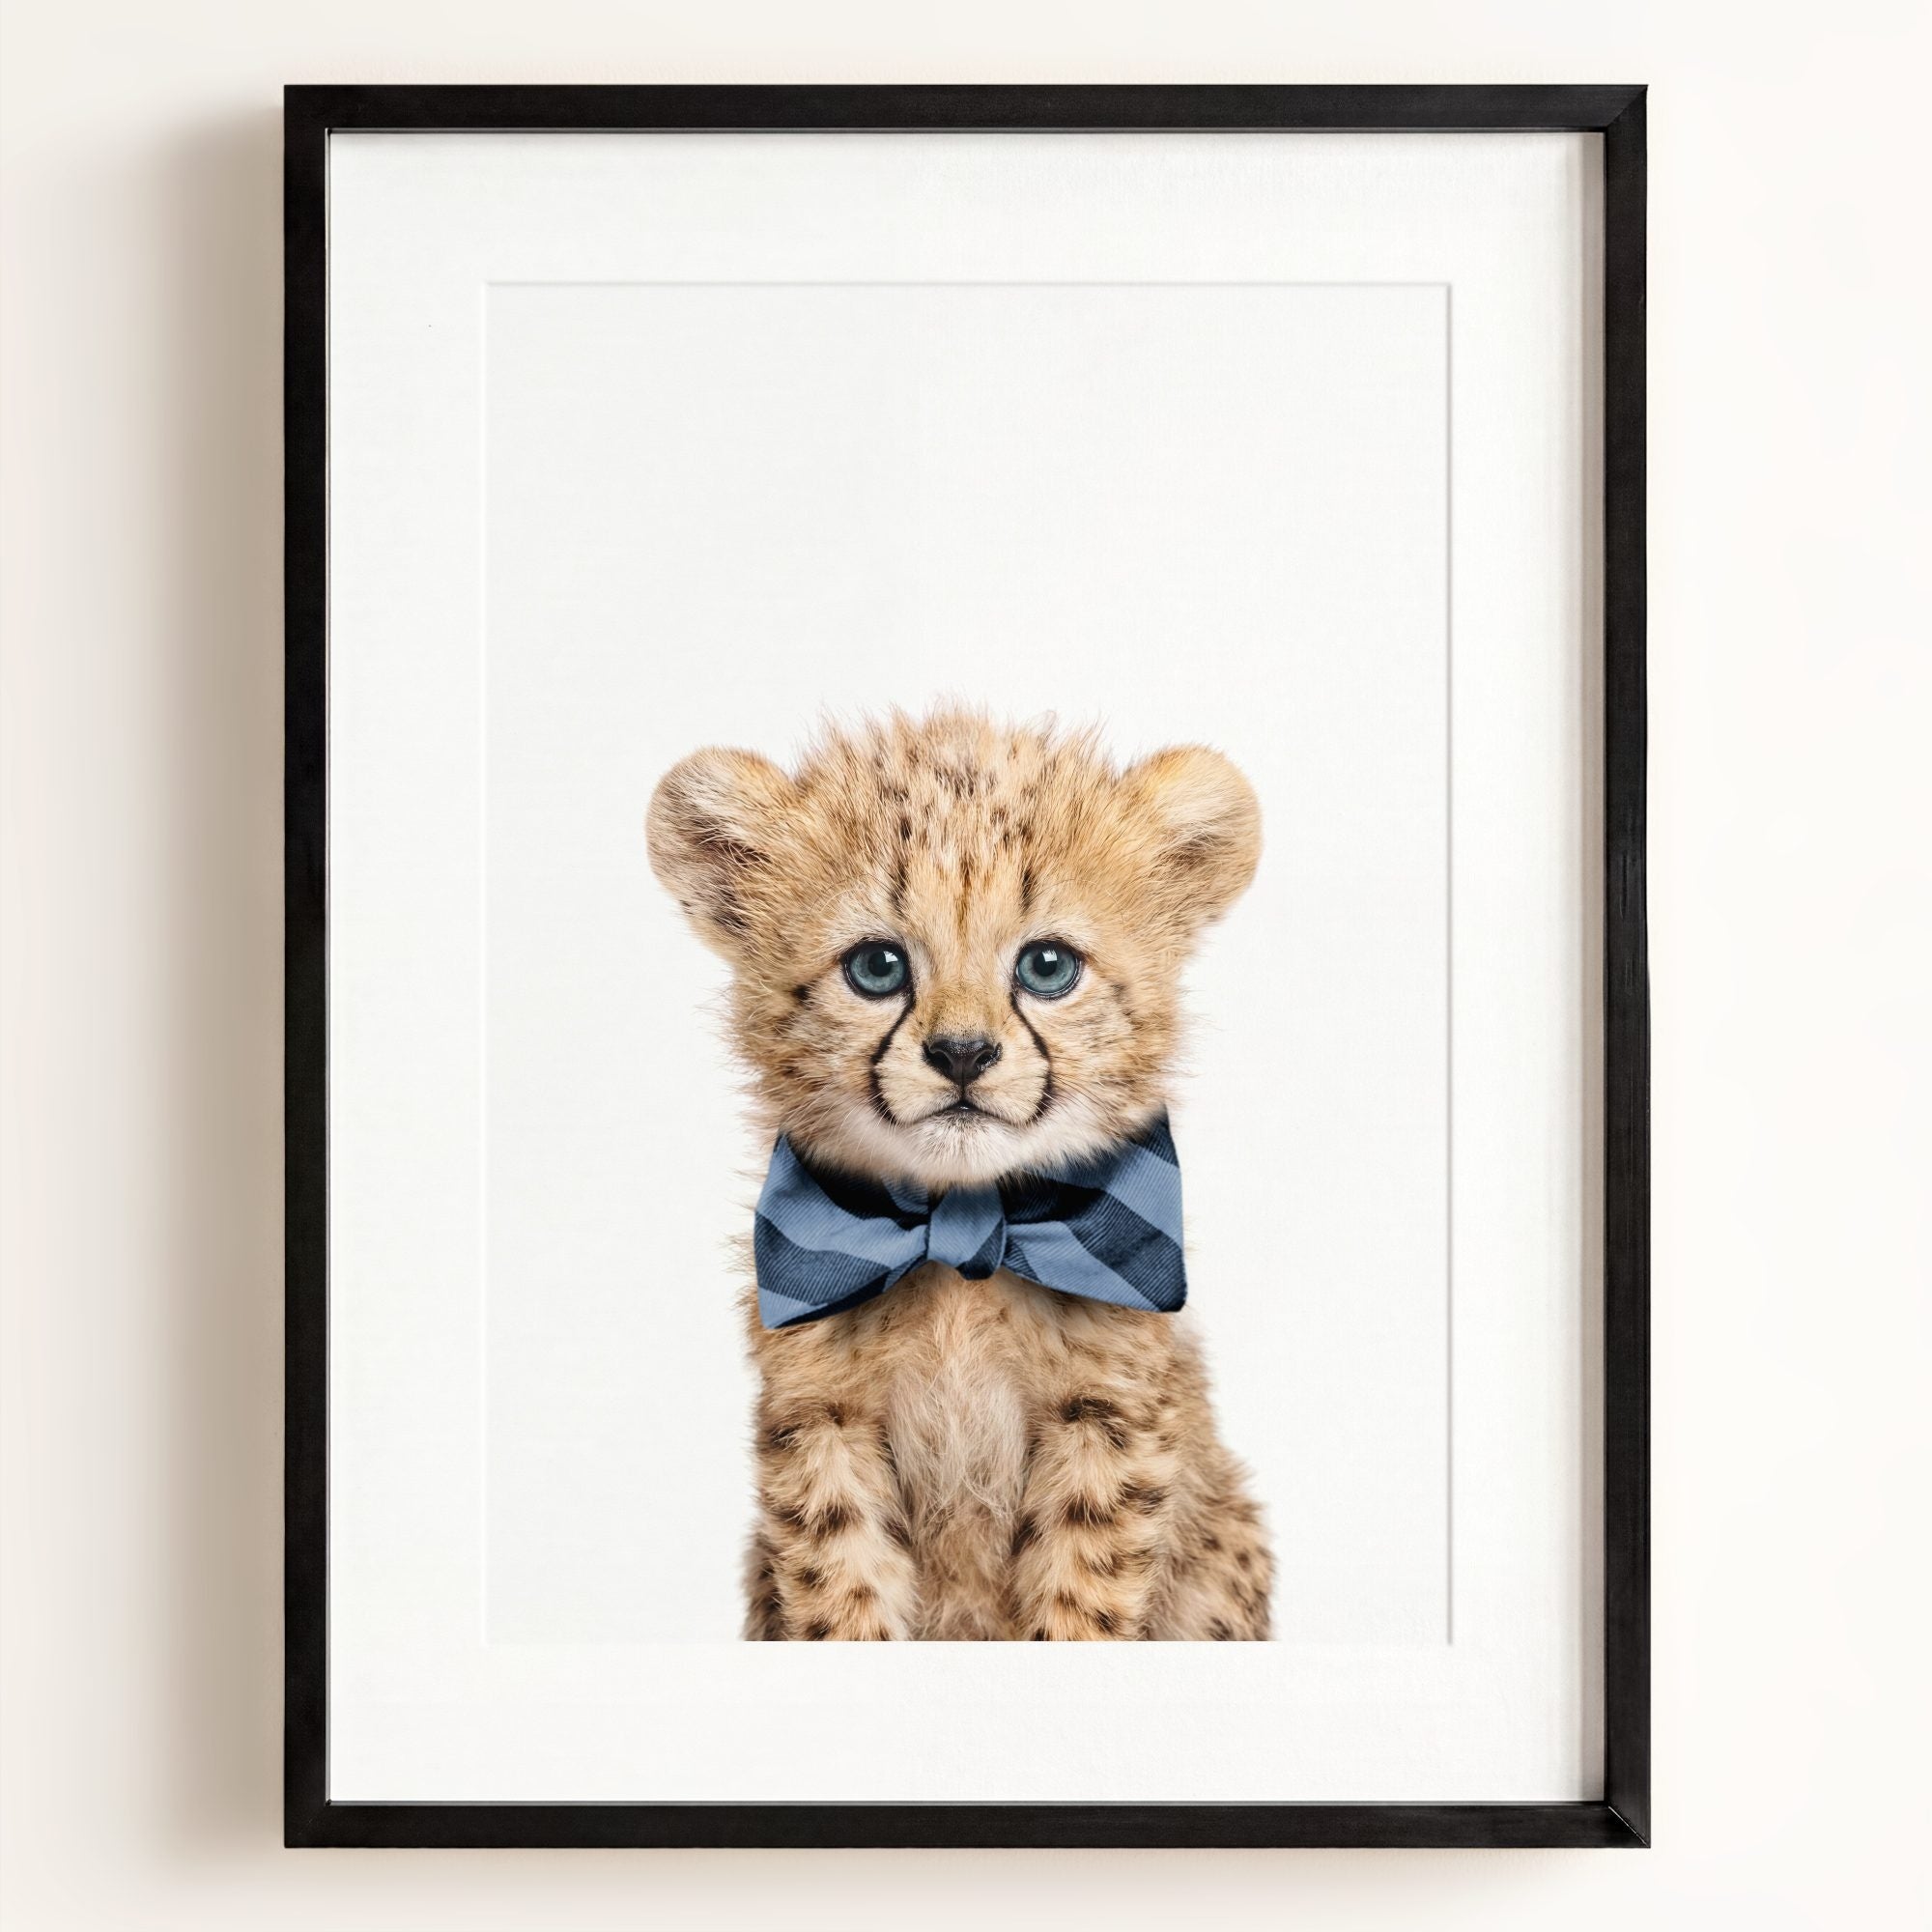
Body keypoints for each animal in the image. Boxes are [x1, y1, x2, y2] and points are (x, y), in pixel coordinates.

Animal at [647, 707, 1272, 1639]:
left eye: (1048, 967)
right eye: (877, 967)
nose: (963, 1054)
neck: (964, 1236)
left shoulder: (1107, 1419)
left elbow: (1082, 1599)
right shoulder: (821, 1421)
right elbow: (842, 1594)